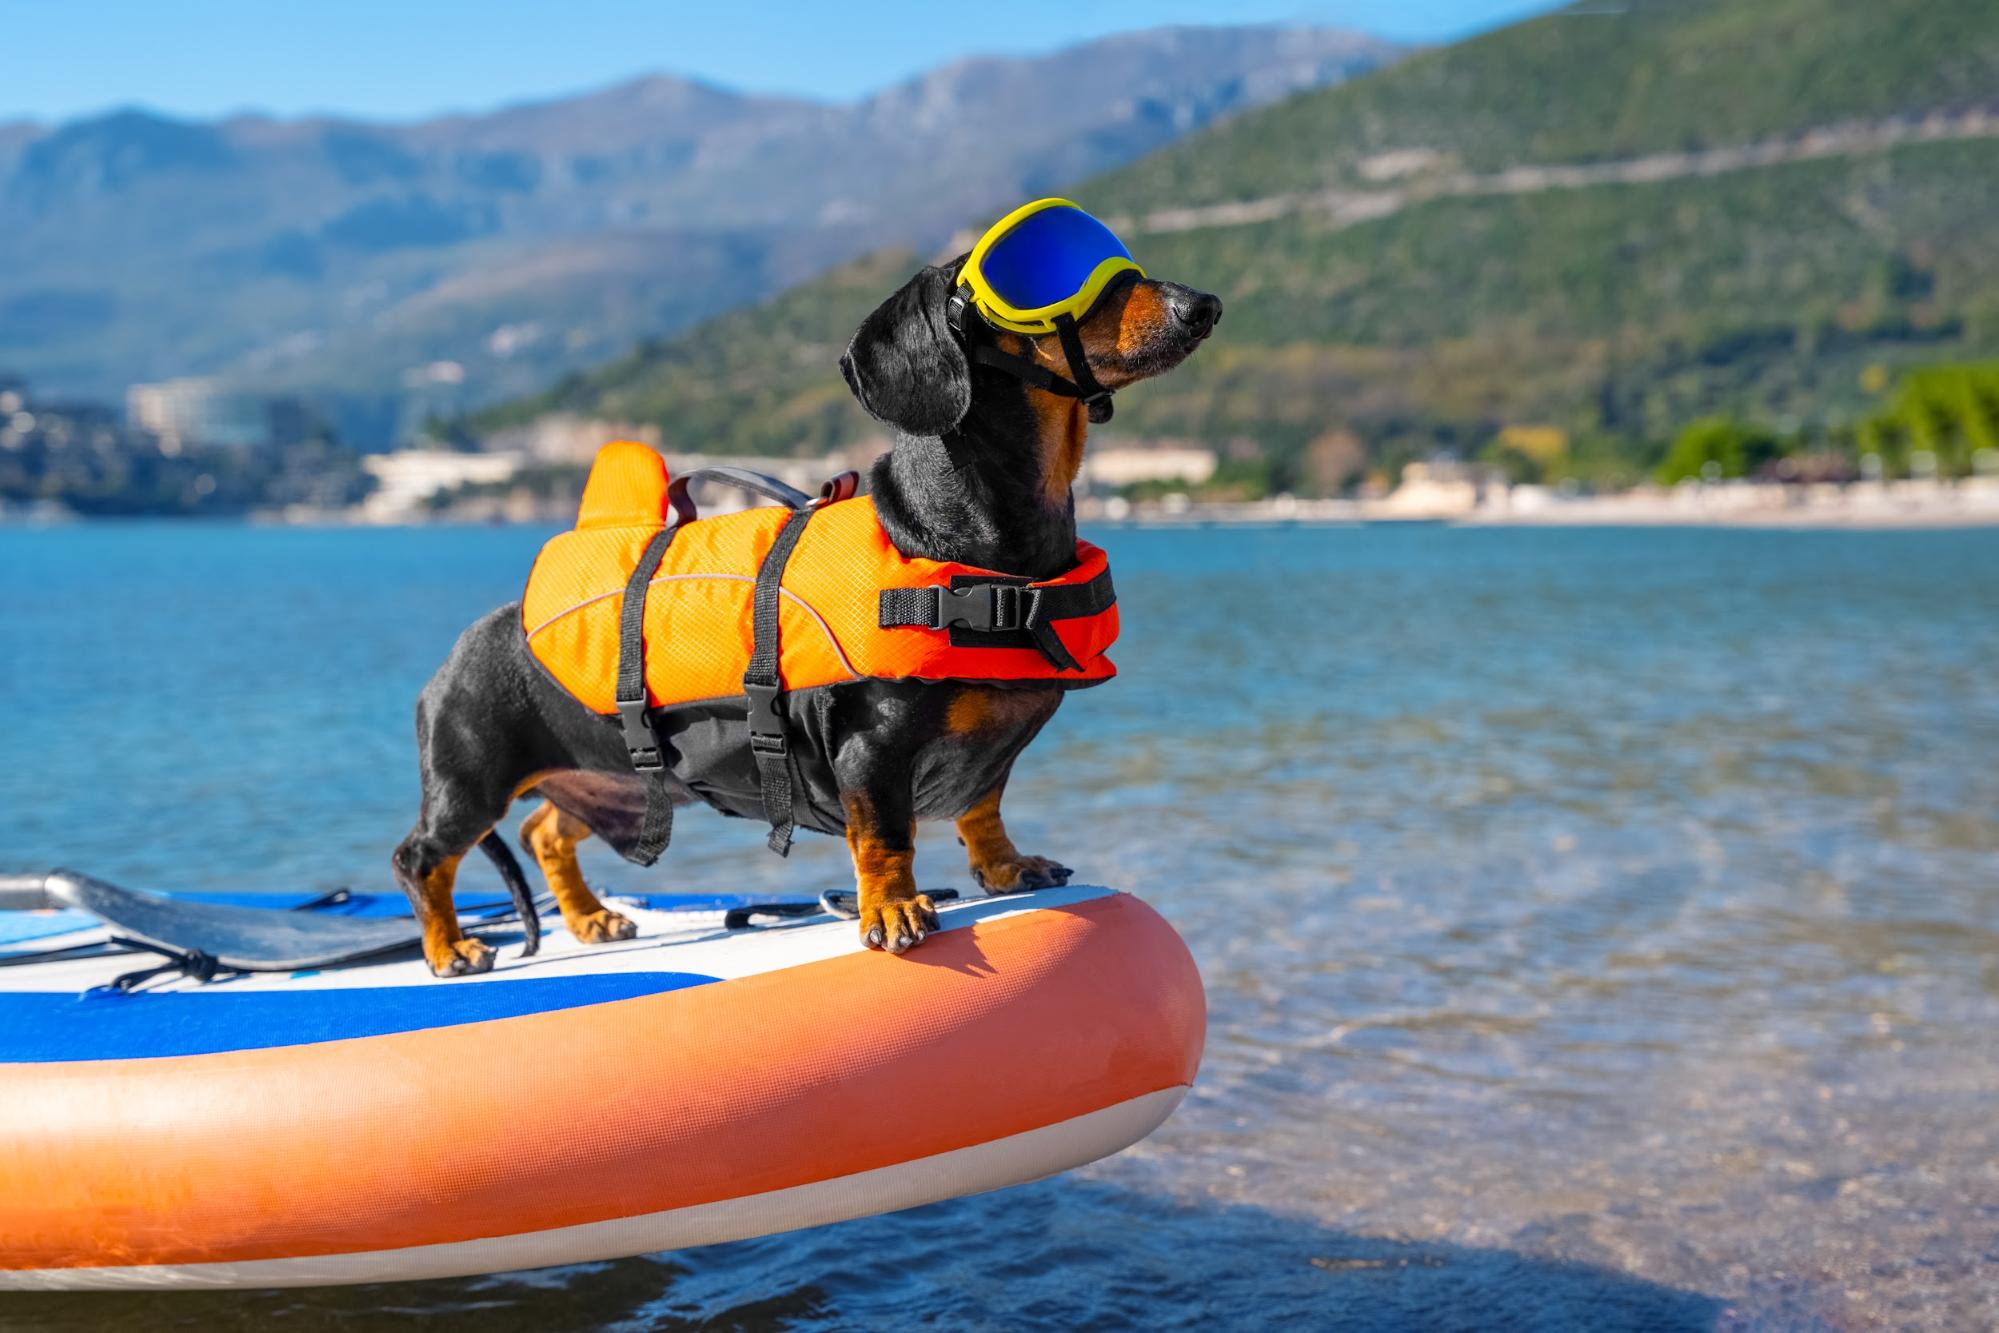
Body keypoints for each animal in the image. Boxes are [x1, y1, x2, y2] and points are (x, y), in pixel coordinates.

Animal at [389, 255, 1215, 975]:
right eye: (1049, 274)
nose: (1202, 305)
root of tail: (465, 645)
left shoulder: (990, 756)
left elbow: (983, 806)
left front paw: (1006, 866)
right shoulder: (869, 752)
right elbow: (884, 836)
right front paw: (892, 908)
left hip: (607, 775)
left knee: (544, 830)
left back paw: (590, 916)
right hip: (470, 784)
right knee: (420, 856)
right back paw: (449, 948)